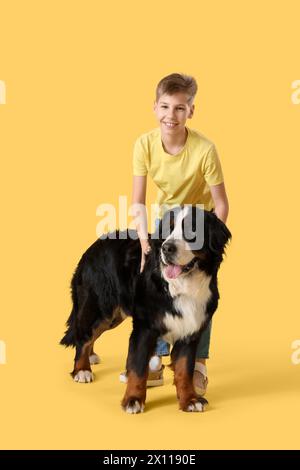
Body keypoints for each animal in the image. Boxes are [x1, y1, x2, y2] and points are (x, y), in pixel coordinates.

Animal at [59, 207, 231, 414]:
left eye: (192, 230)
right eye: (167, 230)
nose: (167, 248)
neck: (182, 286)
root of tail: (93, 246)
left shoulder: (189, 330)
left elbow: (184, 370)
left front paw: (189, 399)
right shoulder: (145, 327)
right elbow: (139, 367)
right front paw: (133, 399)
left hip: (113, 315)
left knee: (92, 335)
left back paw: (91, 357)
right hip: (99, 307)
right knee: (84, 336)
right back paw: (82, 370)